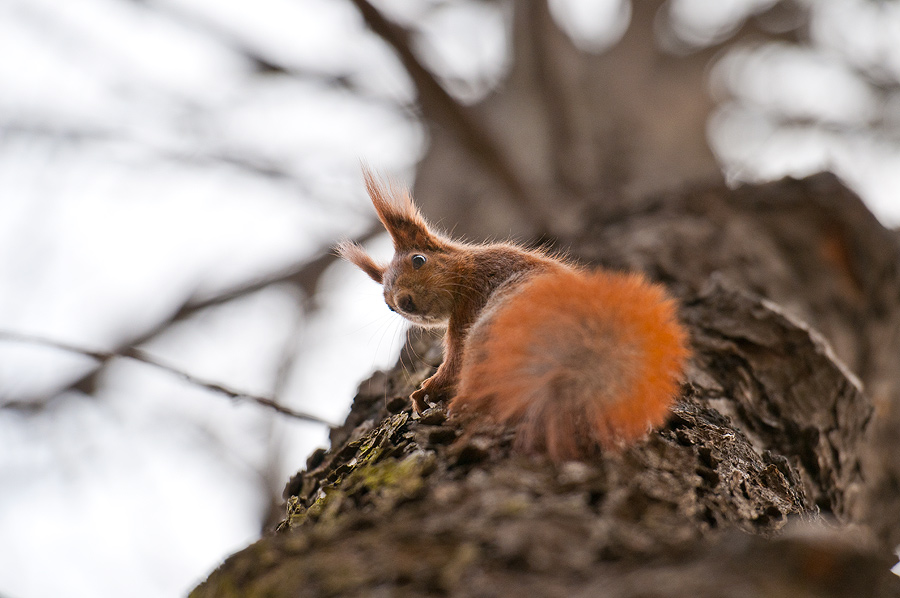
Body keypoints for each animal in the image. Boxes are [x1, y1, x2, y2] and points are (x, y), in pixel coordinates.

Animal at [338, 171, 688, 462]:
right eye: (388, 306)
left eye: (419, 260)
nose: (404, 302)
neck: (467, 268)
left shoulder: (470, 305)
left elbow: (454, 364)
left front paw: (425, 391)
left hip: (490, 331)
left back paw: (463, 406)